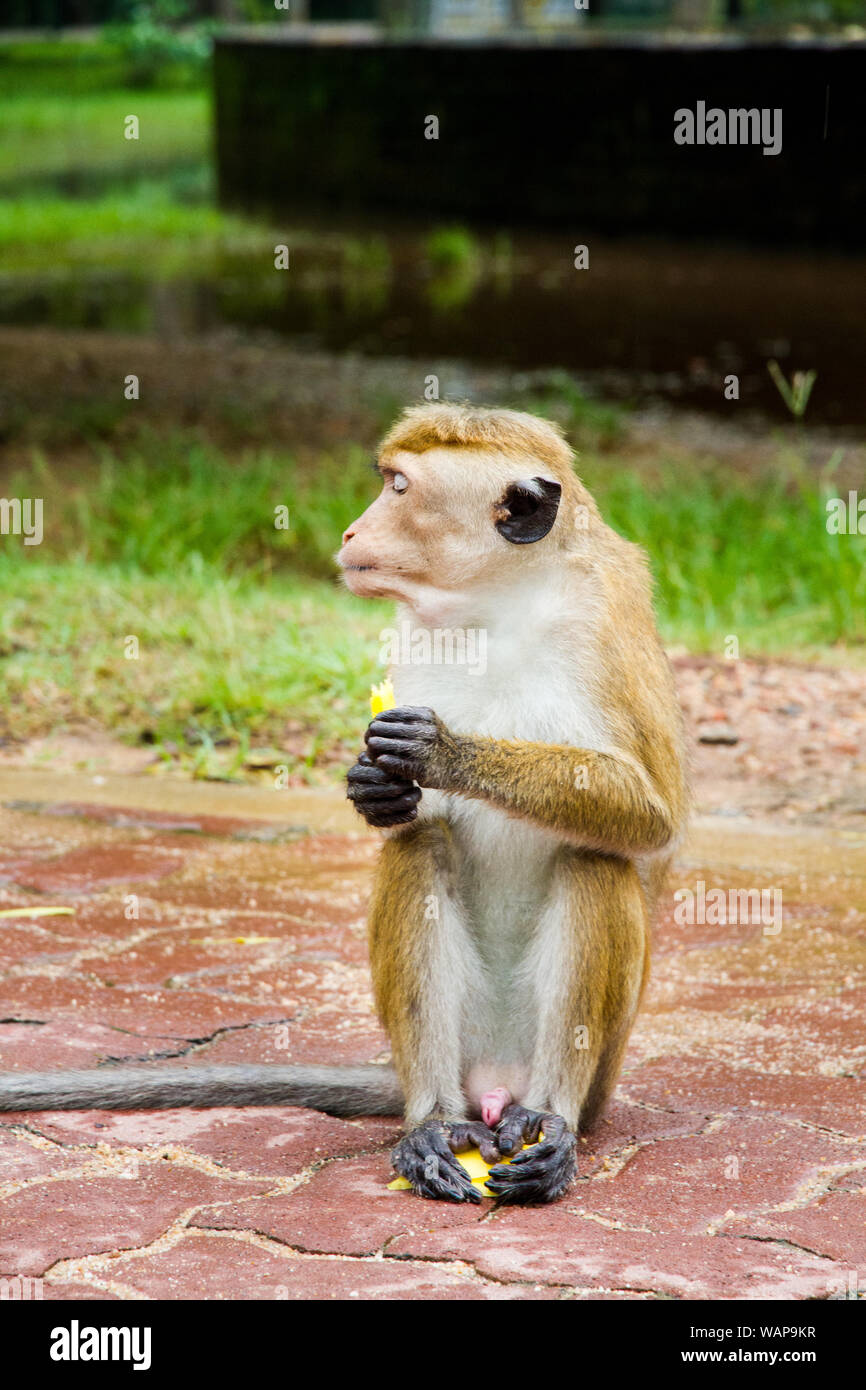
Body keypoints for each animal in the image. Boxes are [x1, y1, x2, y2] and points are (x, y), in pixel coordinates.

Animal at [0, 403, 692, 1206]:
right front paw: (375, 787)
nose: (352, 532)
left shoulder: (605, 619)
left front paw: (444, 753)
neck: (500, 602)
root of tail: (492, 1089)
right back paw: (432, 1122)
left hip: (596, 1072)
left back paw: (548, 1122)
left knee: (592, 856)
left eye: (400, 488)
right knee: (419, 851)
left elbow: (653, 812)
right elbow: (412, 822)